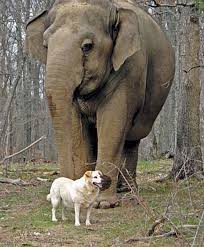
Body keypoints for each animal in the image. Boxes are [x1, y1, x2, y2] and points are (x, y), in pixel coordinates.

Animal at [25, 0, 175, 208]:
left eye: (87, 46)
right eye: (45, 45)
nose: (59, 192)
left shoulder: (130, 67)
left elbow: (112, 123)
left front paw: (103, 204)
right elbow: (76, 125)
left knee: (132, 138)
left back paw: (127, 190)